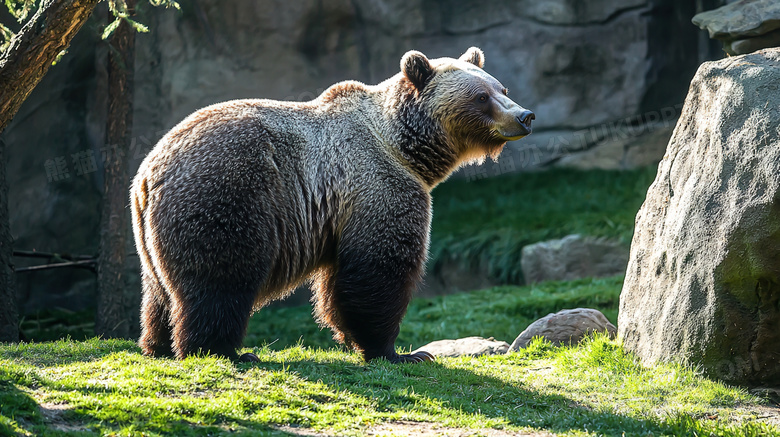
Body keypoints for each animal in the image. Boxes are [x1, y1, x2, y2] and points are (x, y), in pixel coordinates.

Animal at [133, 46, 536, 362]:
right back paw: (224, 350)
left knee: (159, 293)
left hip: (152, 239)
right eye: (481, 96)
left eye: (502, 88)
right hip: (227, 192)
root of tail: (148, 175)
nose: (525, 116)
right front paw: (399, 351)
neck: (405, 148)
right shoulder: (375, 185)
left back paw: (158, 345)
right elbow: (379, 268)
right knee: (221, 278)